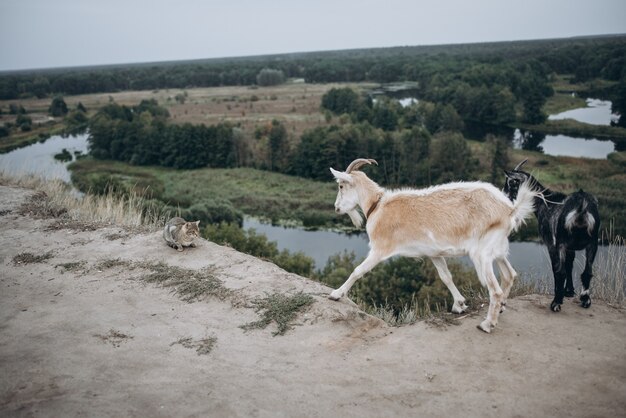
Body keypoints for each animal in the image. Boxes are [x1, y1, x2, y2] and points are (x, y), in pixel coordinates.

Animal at [330, 158, 532, 332]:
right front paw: (459, 304)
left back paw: (487, 324)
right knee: (509, 274)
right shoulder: (434, 253)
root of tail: (509, 209)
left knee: (495, 290)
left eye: (341, 185)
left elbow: (358, 271)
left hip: (482, 254)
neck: (377, 206)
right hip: (497, 249)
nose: (336, 208)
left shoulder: (380, 249)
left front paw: (336, 294)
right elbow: (446, 276)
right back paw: (501, 308)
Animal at [500, 160, 596, 310]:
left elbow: (558, 269)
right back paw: (585, 300)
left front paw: (561, 294)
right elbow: (570, 264)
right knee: (587, 272)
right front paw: (569, 291)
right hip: (593, 242)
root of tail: (581, 209)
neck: (545, 203)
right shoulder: (570, 247)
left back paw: (556, 303)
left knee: (560, 271)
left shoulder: (552, 243)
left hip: (561, 242)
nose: (503, 198)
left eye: (510, 183)